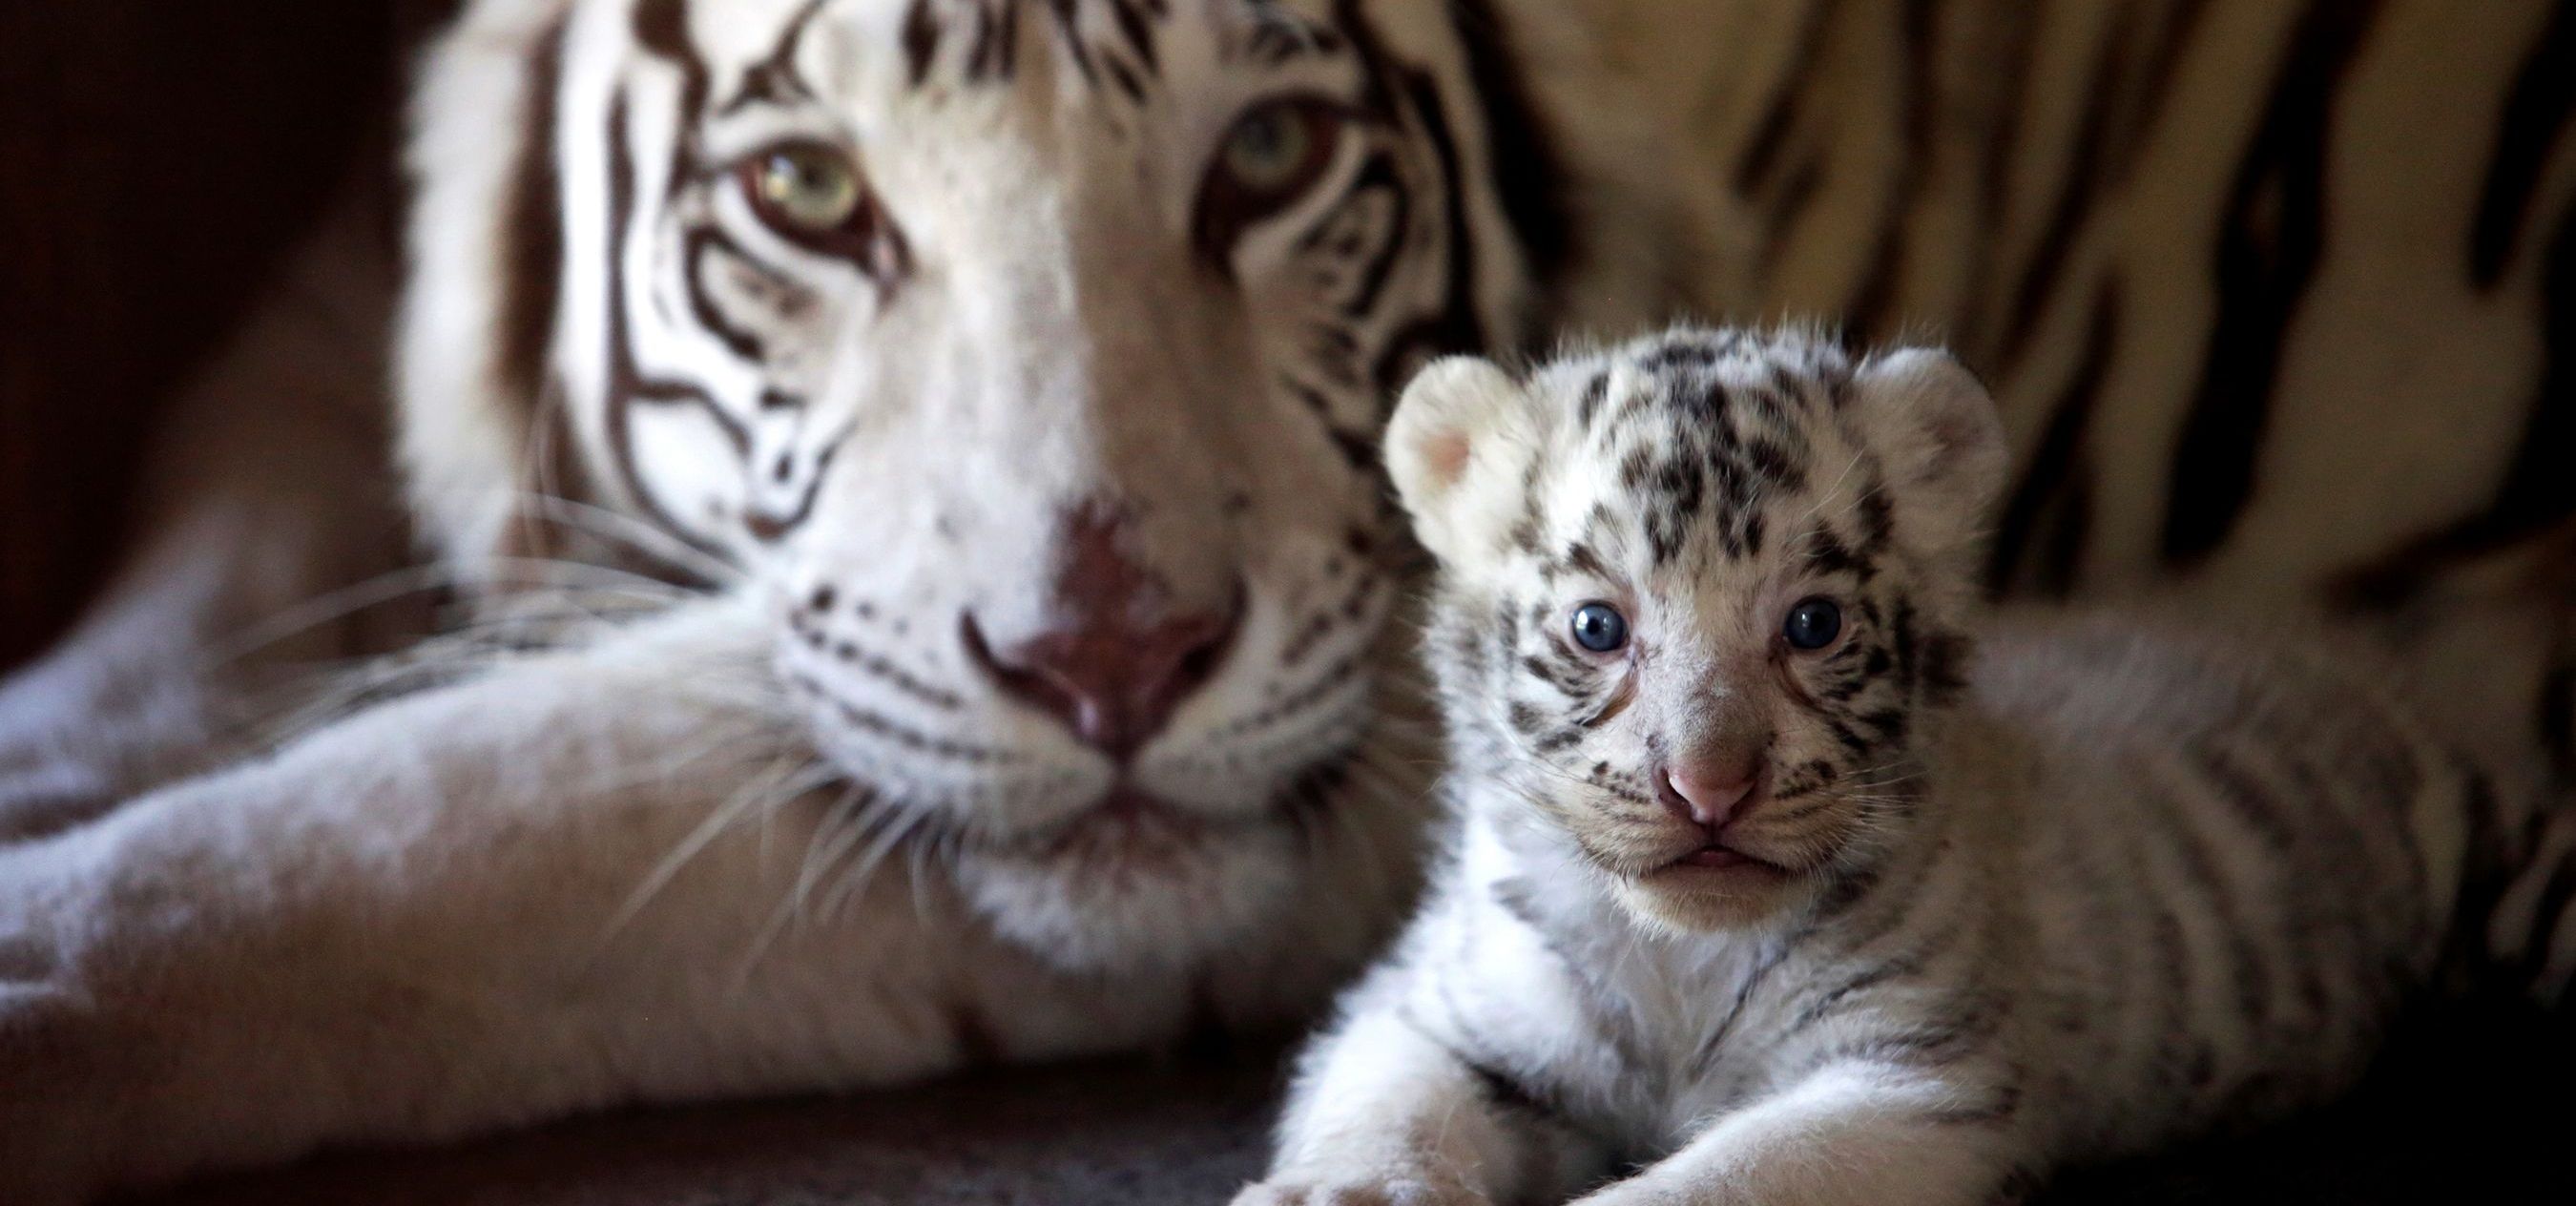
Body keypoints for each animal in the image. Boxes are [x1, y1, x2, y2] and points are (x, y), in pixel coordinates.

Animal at [1236, 327, 2545, 1206]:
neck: (1680, 962)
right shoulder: (1427, 1007)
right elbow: (1389, 1103)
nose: (1708, 788)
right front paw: (1338, 1191)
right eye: (1599, 627)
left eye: (1811, 626)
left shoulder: (1917, 1082)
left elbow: (1717, 1180)